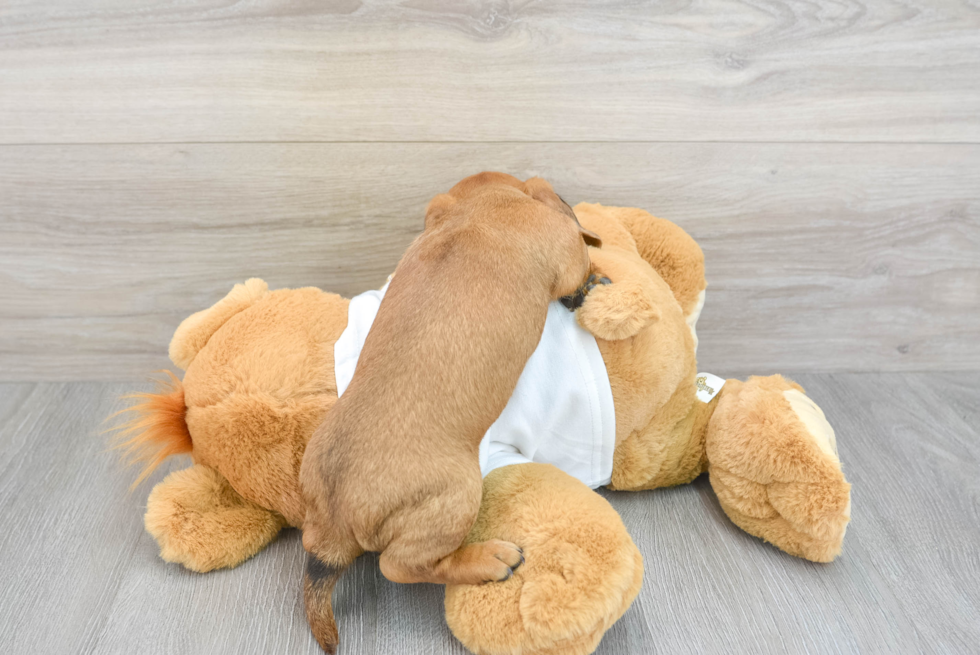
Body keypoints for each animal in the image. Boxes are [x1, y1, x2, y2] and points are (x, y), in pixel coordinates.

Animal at [302, 172, 600, 652]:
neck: (480, 207)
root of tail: (334, 520)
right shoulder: (566, 251)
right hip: (459, 496)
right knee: (401, 566)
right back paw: (488, 559)